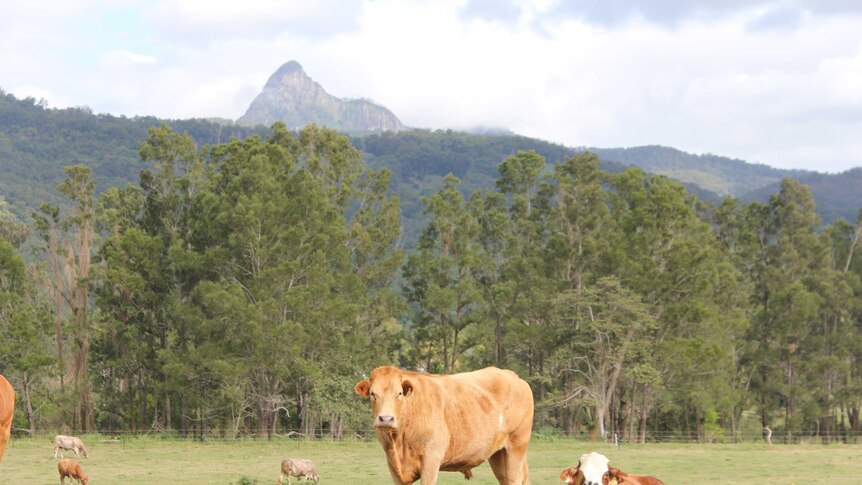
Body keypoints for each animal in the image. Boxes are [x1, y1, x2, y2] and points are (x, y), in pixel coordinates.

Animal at [356, 364, 532, 482]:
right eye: (373, 394)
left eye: (399, 393)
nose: (386, 419)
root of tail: (510, 374)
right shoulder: (394, 466)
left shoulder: (431, 460)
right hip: (498, 455)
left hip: (516, 449)